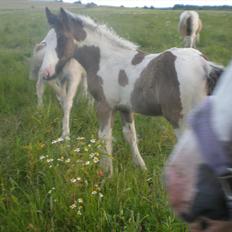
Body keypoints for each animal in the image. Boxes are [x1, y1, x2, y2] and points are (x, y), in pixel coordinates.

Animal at [42, 7, 222, 176]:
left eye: (62, 38)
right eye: (44, 42)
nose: (45, 73)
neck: (106, 60)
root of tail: (205, 65)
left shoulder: (103, 106)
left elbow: (104, 137)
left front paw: (106, 173)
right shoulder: (125, 108)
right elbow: (130, 136)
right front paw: (141, 168)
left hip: (182, 121)